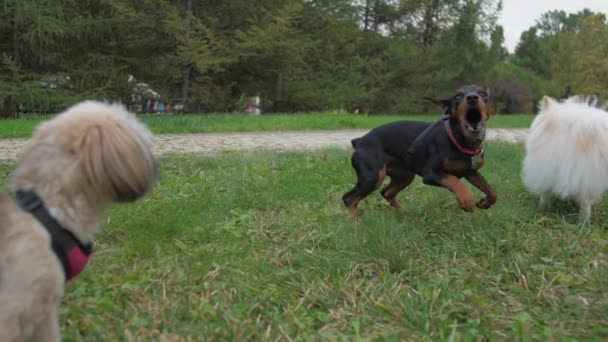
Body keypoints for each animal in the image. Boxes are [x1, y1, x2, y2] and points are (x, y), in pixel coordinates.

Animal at [344, 85, 496, 214]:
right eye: (457, 97)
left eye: (483, 94)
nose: (472, 97)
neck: (459, 140)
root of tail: (359, 141)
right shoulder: (431, 174)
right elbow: (455, 181)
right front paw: (467, 200)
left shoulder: (471, 172)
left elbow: (492, 191)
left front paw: (484, 203)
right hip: (372, 177)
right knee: (349, 199)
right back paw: (357, 222)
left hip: (404, 175)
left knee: (386, 192)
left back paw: (405, 212)